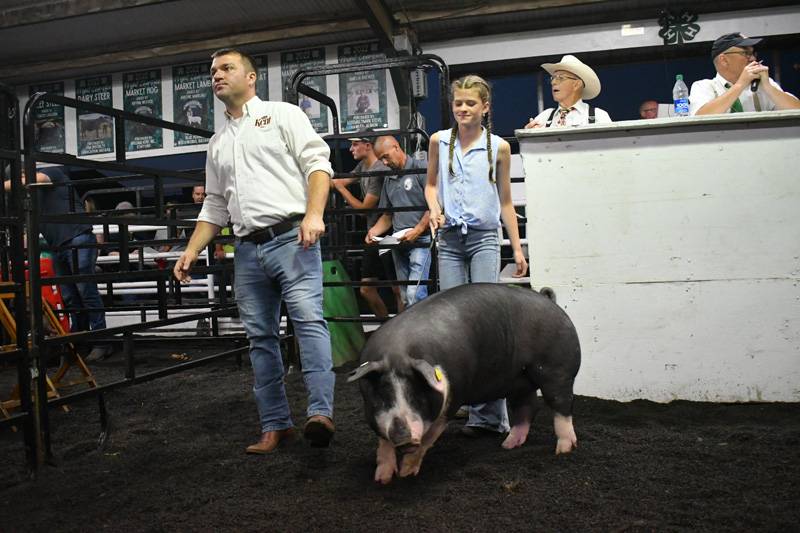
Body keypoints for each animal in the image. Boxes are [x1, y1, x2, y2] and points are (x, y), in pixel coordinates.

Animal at [346, 284, 580, 484]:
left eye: (417, 396)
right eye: (381, 397)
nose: (403, 438)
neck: (397, 351)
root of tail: (550, 301)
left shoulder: (453, 397)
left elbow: (426, 439)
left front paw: (406, 473)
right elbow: (383, 443)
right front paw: (382, 479)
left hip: (557, 370)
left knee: (562, 405)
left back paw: (563, 450)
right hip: (519, 381)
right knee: (528, 407)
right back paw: (508, 445)